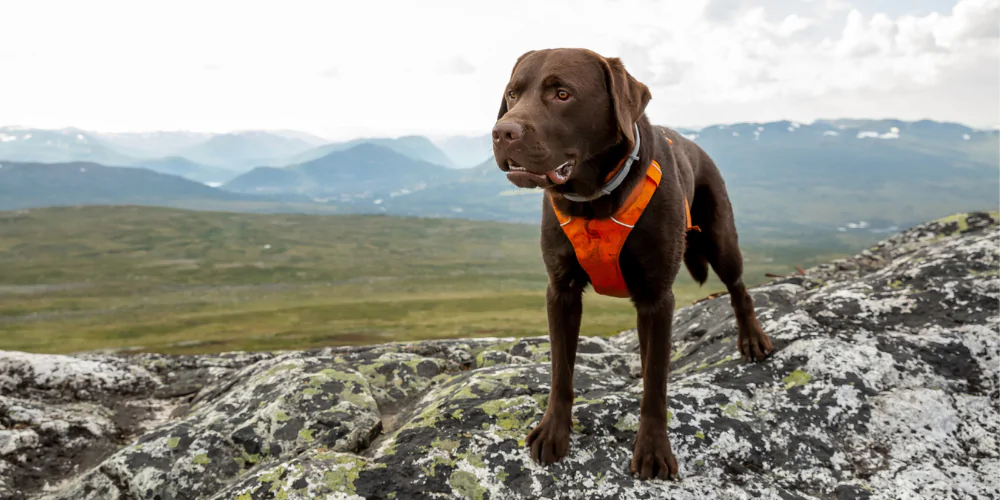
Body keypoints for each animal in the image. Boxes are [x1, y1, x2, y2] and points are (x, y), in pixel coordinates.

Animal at [492, 49, 772, 480]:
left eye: (561, 93)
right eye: (512, 93)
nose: (502, 132)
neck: (594, 201)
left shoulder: (657, 298)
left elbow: (655, 384)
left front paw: (653, 449)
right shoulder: (561, 291)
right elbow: (561, 372)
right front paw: (554, 431)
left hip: (721, 238)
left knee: (739, 288)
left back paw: (752, 338)